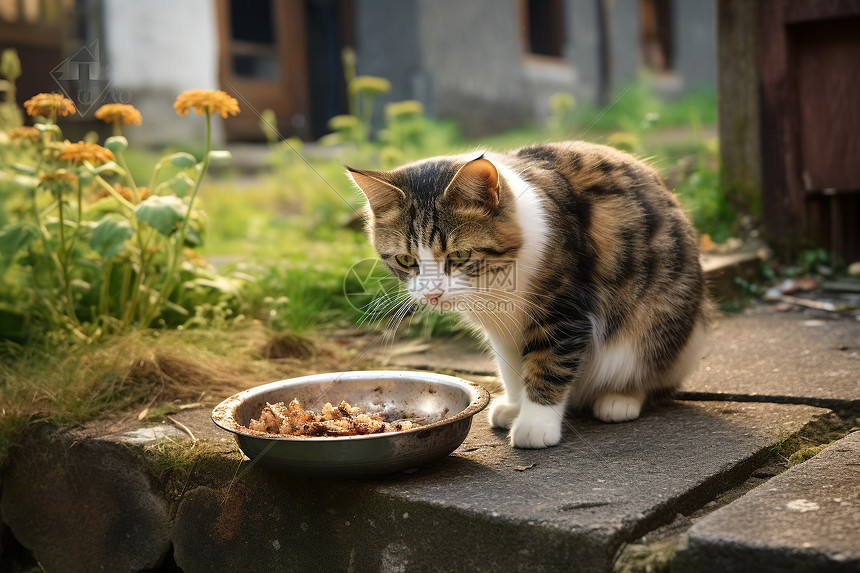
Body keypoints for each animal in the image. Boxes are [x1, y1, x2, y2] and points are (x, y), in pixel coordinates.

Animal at [346, 142, 708, 446]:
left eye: (459, 256)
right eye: (407, 260)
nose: (432, 295)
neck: (494, 282)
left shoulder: (563, 311)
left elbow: (549, 364)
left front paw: (535, 422)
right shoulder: (502, 330)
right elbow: (512, 369)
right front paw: (515, 406)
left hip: (657, 323)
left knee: (646, 368)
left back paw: (620, 398)